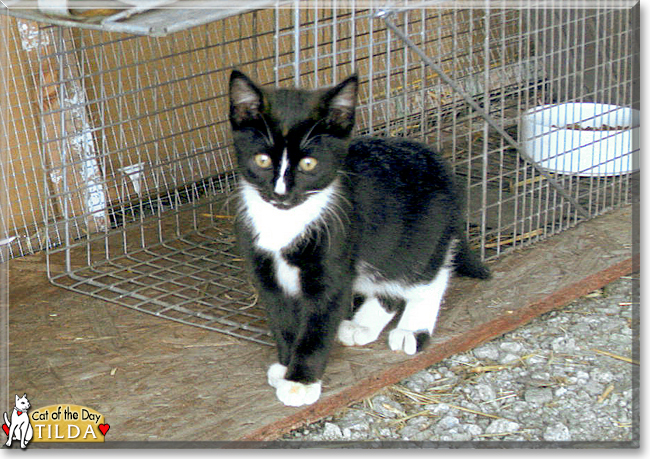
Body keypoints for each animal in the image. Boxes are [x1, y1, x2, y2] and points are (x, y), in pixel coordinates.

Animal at [228, 70, 486, 408]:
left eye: (308, 164)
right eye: (261, 160)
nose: (281, 193)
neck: (285, 222)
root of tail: (442, 164)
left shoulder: (333, 264)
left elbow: (316, 327)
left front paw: (300, 382)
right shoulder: (265, 271)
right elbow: (283, 320)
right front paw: (286, 365)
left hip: (419, 239)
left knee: (431, 275)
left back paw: (412, 329)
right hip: (387, 246)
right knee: (387, 282)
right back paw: (364, 324)